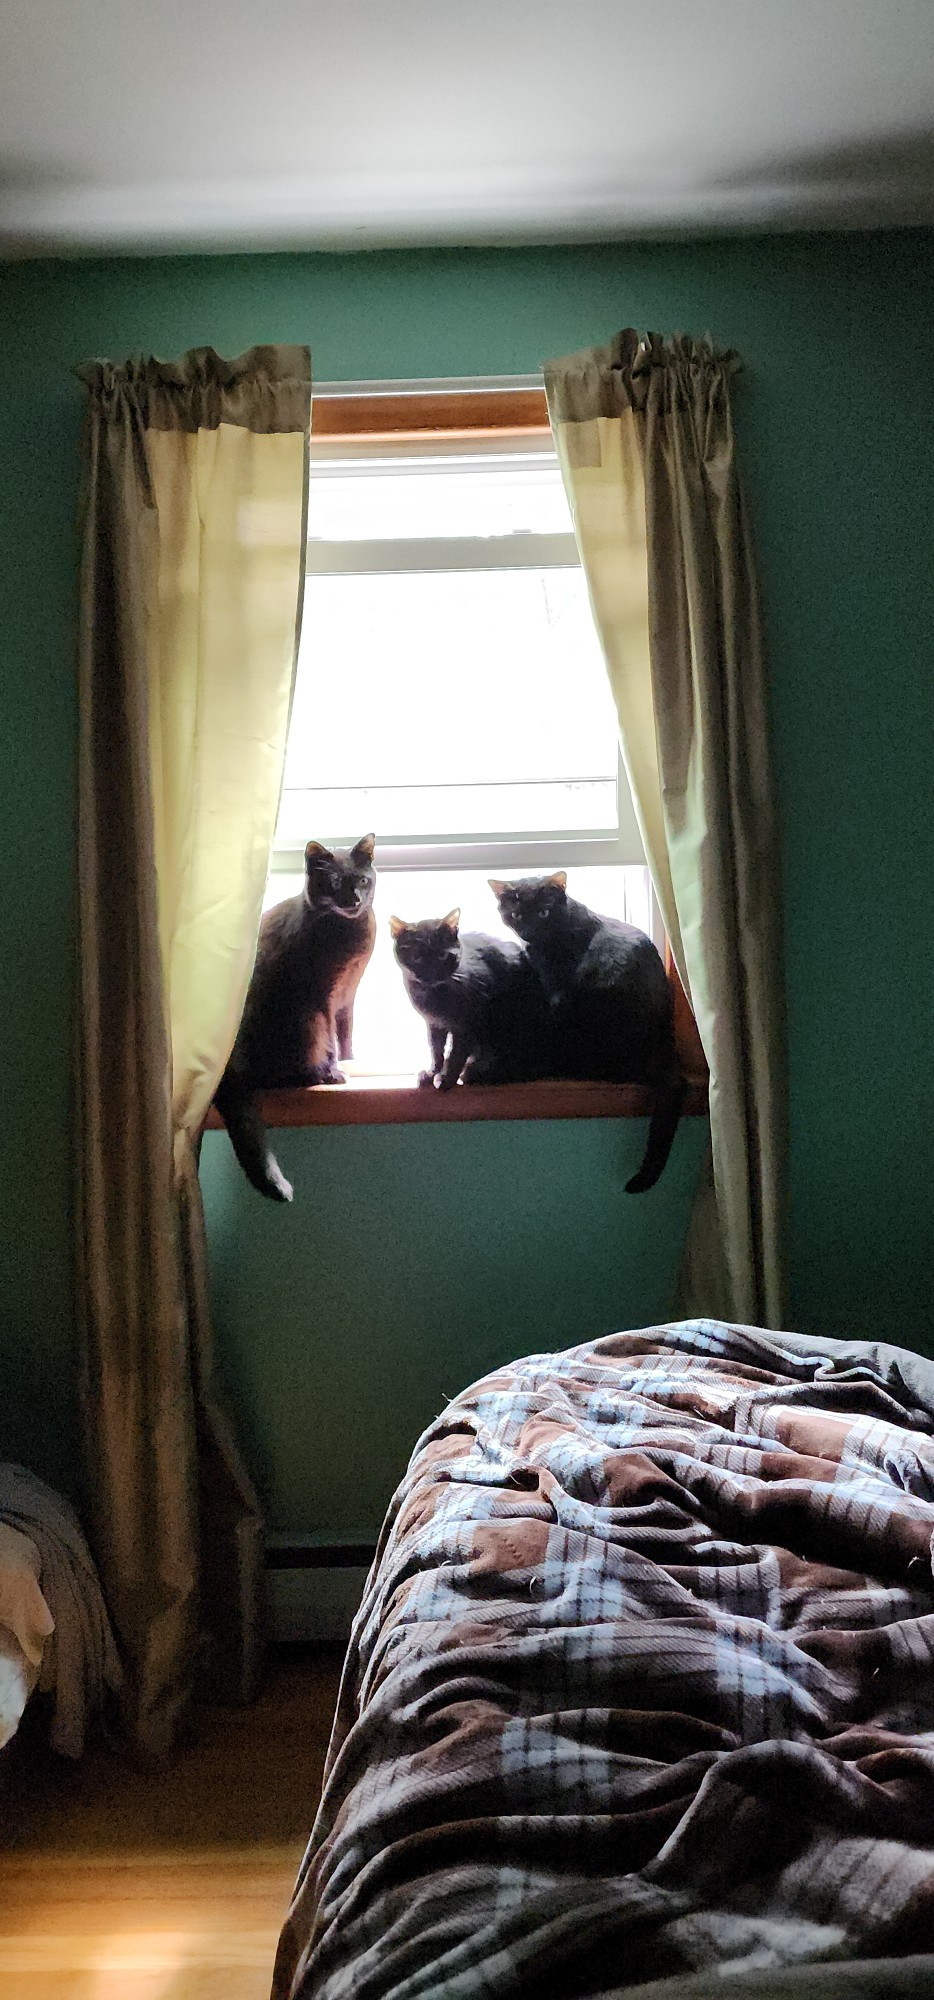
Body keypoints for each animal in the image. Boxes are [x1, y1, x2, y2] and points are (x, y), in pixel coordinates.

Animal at [218, 832, 378, 1200]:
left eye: (362, 880)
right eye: (335, 884)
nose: (353, 900)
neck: (350, 931)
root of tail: (229, 1070)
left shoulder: (349, 995)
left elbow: (345, 1033)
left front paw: (350, 1059)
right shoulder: (323, 996)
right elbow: (331, 1038)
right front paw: (335, 1070)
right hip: (304, 1021)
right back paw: (320, 1075)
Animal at [390, 912, 552, 1088]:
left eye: (442, 955)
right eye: (416, 957)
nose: (432, 974)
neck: (433, 996)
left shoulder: (467, 1023)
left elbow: (456, 1054)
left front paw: (446, 1078)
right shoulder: (434, 1024)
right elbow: (436, 1051)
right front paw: (432, 1073)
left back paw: (475, 1073)